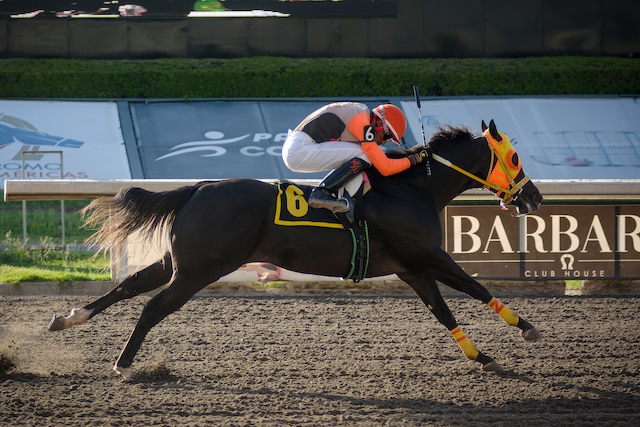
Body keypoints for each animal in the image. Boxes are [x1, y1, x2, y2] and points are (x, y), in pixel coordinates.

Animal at [47, 118, 544, 380]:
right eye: (515, 157)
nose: (534, 197)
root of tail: (200, 187)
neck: (412, 189)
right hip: (198, 270)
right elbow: (476, 287)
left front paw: (482, 356)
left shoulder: (412, 268)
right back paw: (123, 362)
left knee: (129, 286)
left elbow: (444, 312)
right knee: (152, 306)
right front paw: (527, 328)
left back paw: (67, 318)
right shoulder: (428, 257)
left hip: (178, 260)